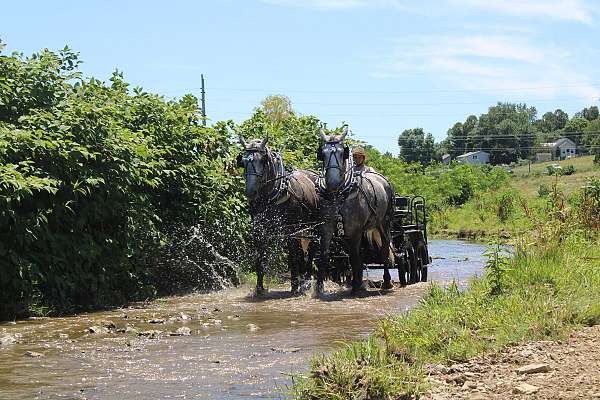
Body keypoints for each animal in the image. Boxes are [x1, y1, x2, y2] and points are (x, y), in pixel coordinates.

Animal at [237, 134, 318, 294]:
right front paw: (259, 287)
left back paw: (305, 279)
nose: (250, 192)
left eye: (261, 161)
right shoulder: (259, 230)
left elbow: (293, 257)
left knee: (311, 250)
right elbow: (260, 258)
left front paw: (295, 285)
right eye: (243, 161)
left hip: (312, 225)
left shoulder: (290, 230)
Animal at [316, 125, 396, 294]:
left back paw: (386, 282)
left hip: (384, 222)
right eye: (323, 153)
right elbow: (324, 255)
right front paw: (319, 288)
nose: (332, 182)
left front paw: (356, 286)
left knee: (385, 248)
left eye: (342, 153)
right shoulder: (327, 227)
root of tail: (383, 180)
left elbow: (354, 256)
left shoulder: (355, 229)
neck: (339, 195)